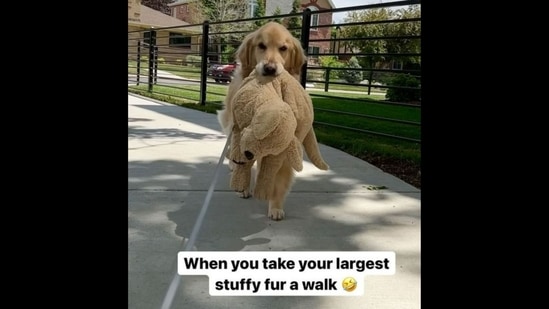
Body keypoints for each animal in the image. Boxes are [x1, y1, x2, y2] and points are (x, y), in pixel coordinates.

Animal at [215, 21, 308, 219]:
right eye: (261, 46)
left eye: (283, 48)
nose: (270, 68)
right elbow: (243, 162)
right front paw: (243, 188)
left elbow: (279, 181)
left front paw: (275, 207)